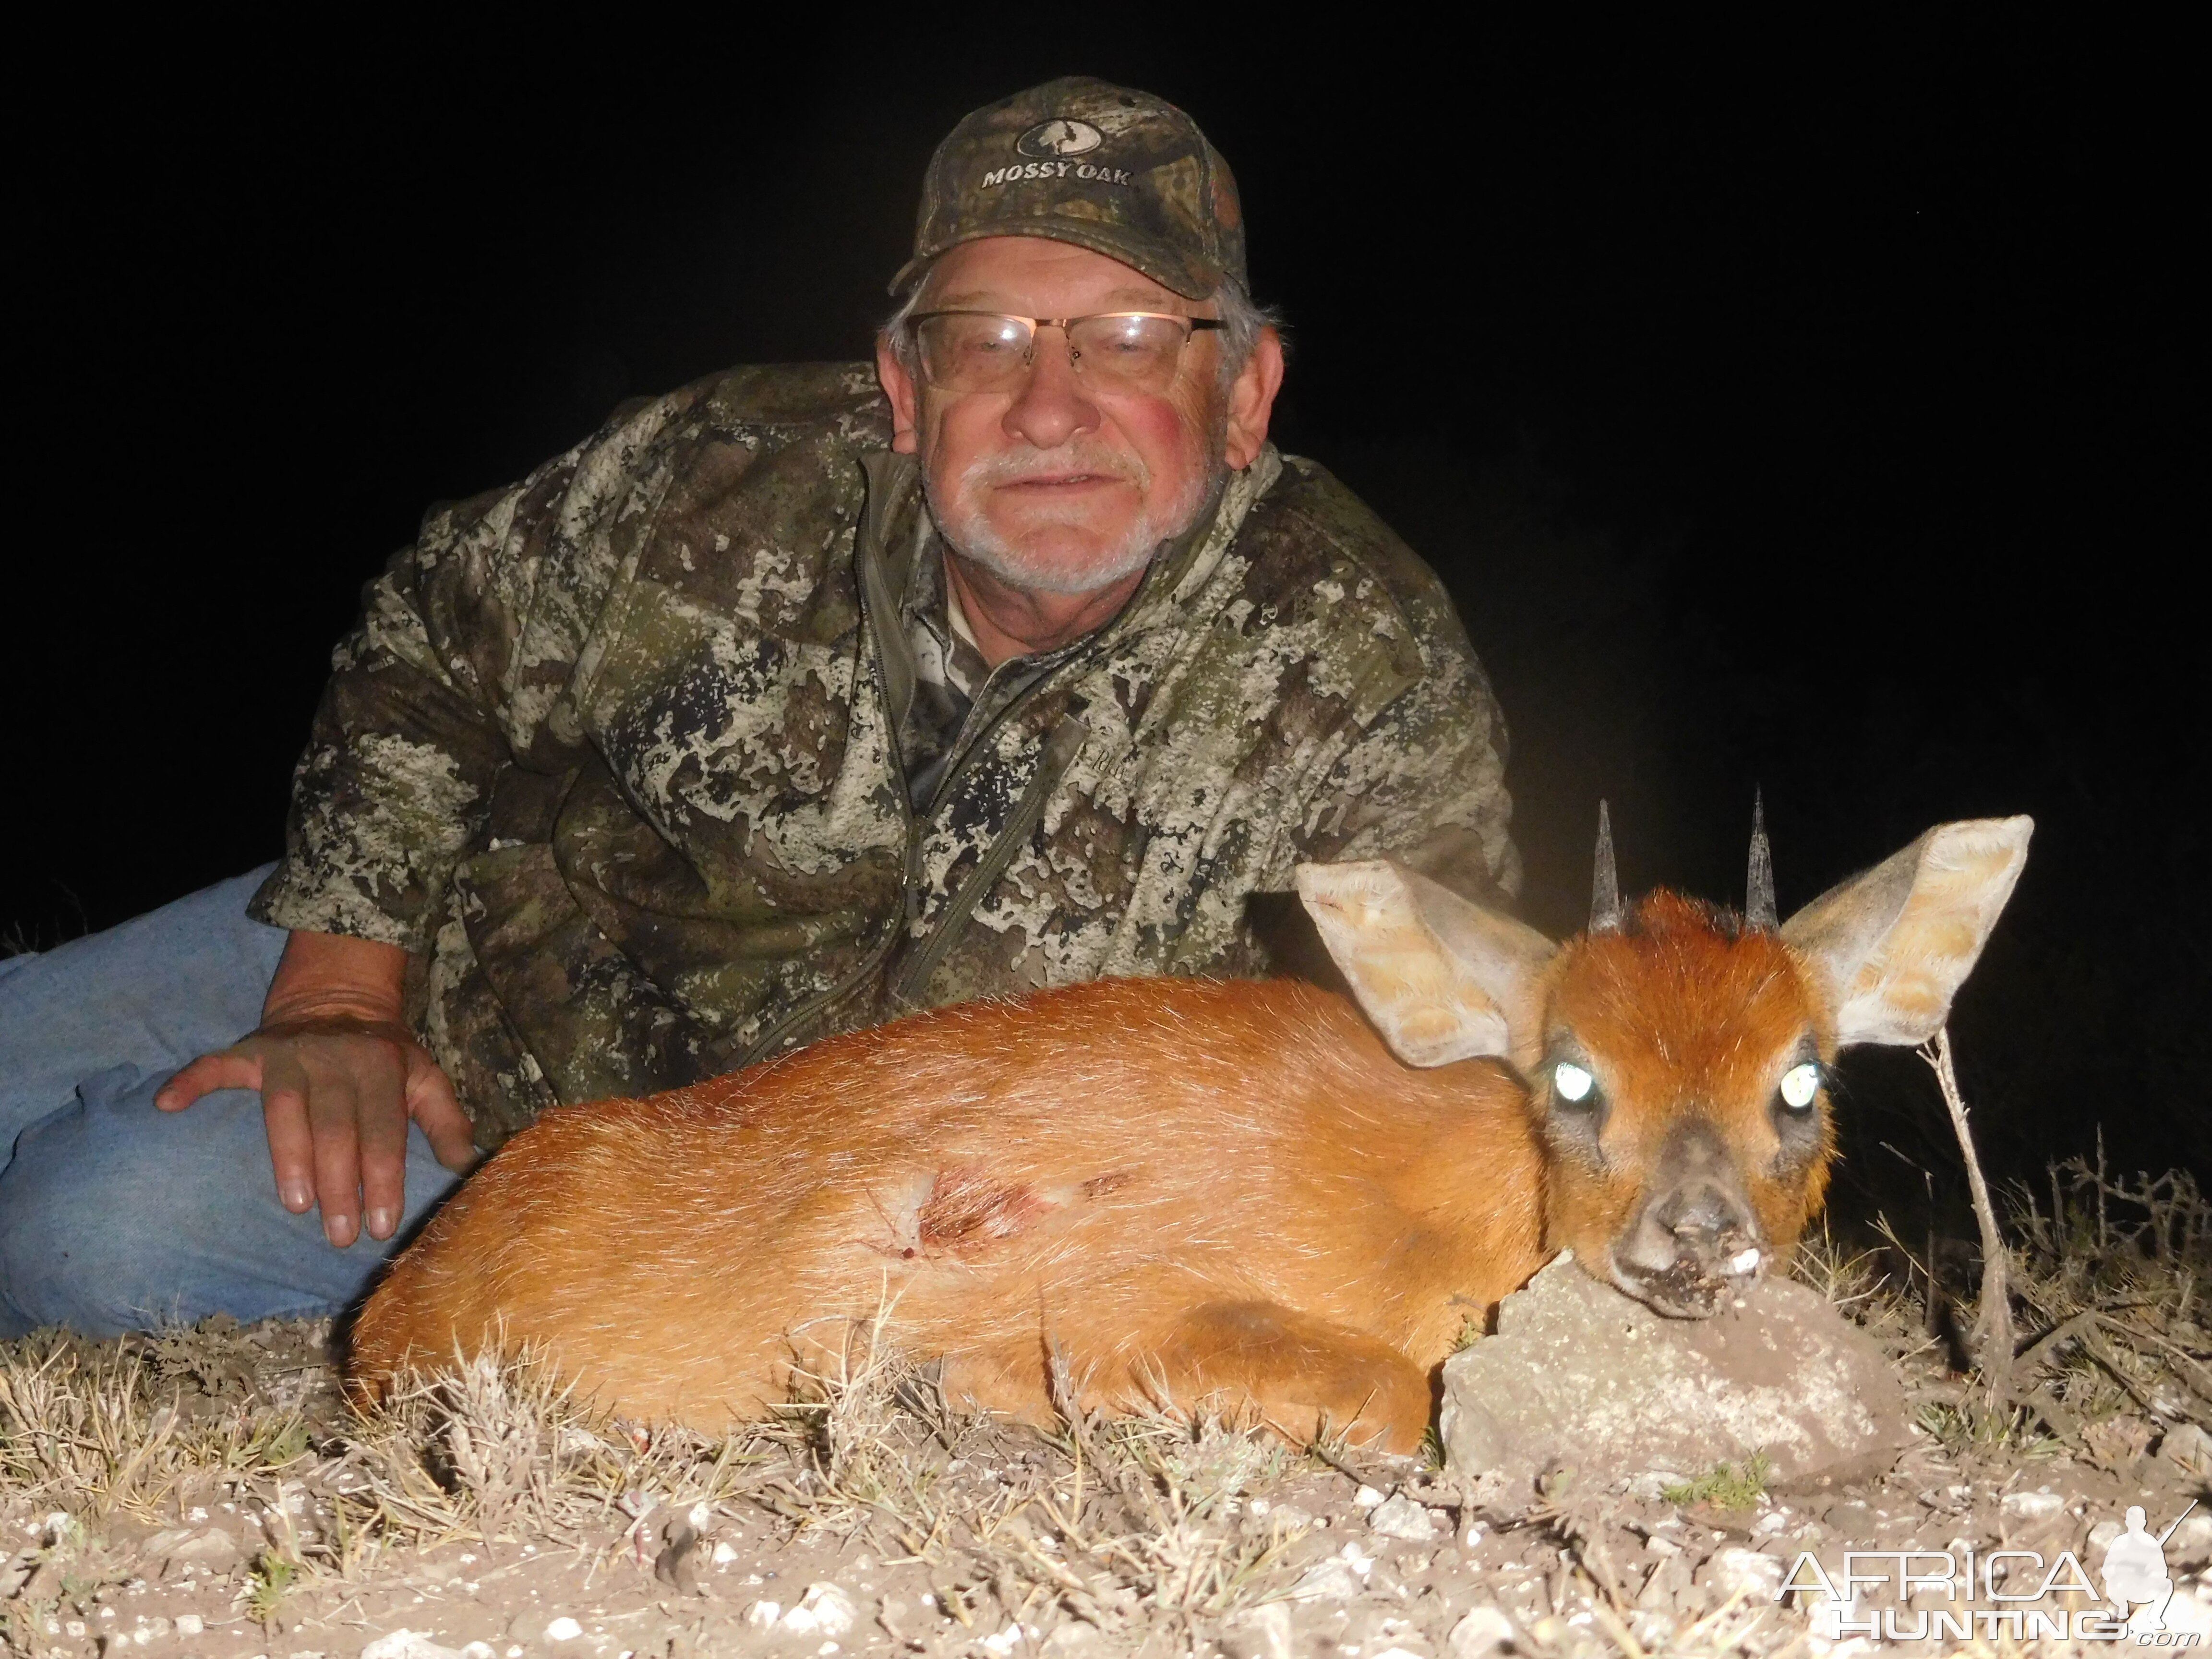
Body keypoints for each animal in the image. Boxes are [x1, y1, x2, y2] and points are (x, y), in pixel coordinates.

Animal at [354, 814, 2026, 1451]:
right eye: (1569, 1076)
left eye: (1801, 1081)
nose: (1696, 1237)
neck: (1440, 1199)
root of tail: (383, 1308)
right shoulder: (1117, 1304)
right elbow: (1387, 1394)